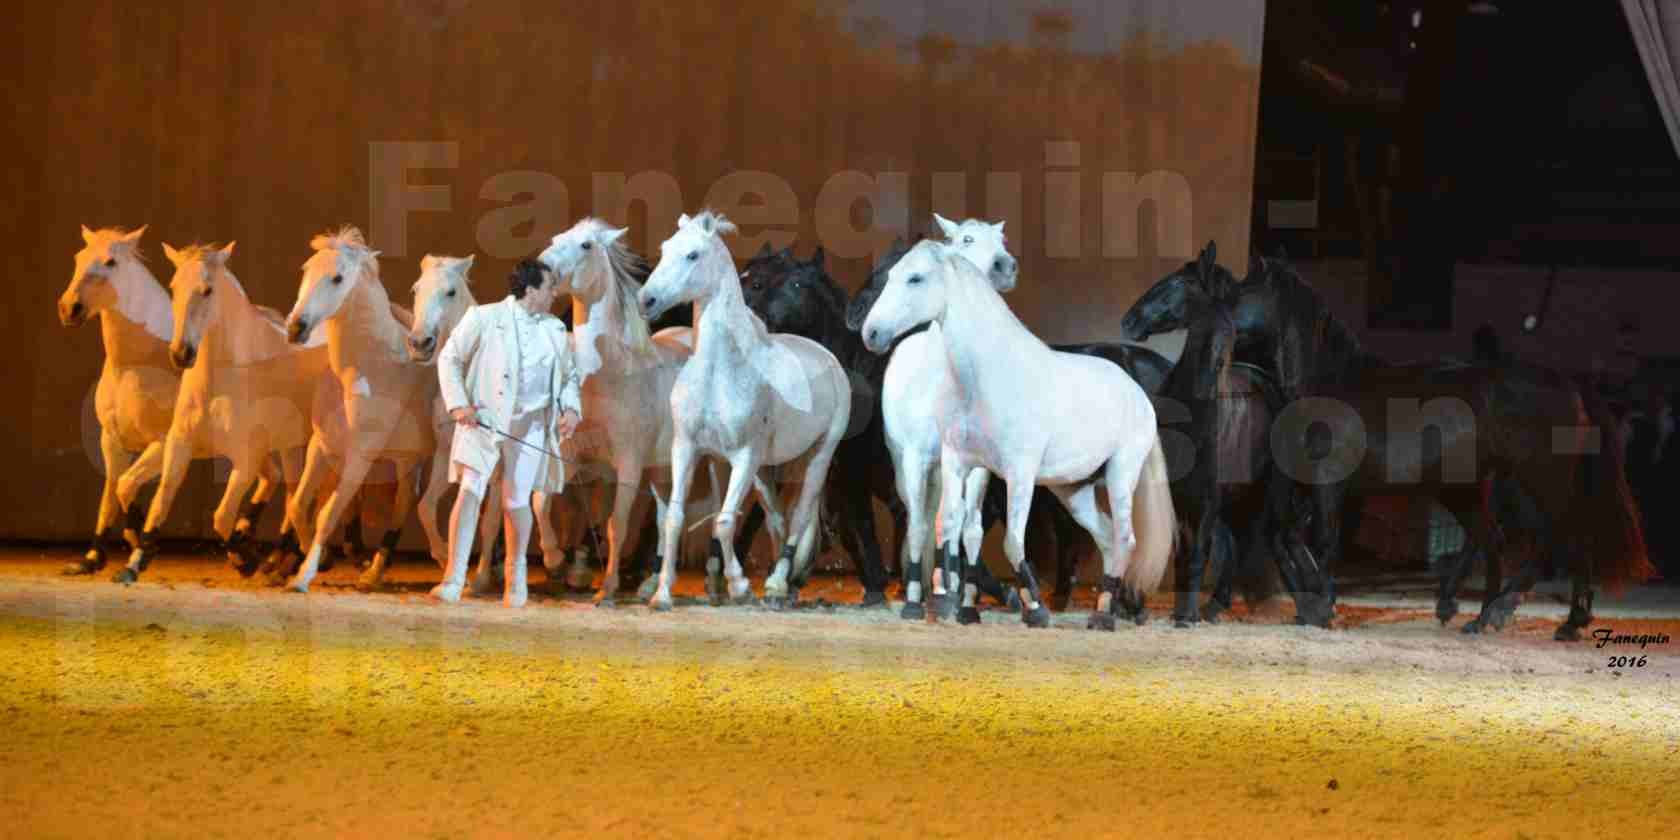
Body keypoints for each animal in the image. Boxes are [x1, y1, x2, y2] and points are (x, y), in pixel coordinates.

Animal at [57, 225, 180, 577]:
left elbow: (127, 485)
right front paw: (91, 558)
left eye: (111, 262)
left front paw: (141, 550)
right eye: (78, 257)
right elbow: (111, 492)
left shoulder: (164, 443)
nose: (69, 308)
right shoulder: (111, 439)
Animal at [120, 243, 329, 584]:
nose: (181, 354)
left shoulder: (245, 458)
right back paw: (280, 558)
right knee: (289, 491)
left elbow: (220, 516)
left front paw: (245, 561)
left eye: (207, 290)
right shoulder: (180, 445)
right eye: (174, 288)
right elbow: (158, 499)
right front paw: (136, 559)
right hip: (288, 447)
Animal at [282, 226, 440, 594]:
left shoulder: (360, 456)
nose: (296, 328)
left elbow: (327, 513)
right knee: (404, 501)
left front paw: (303, 576)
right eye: (306, 269)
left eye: (338, 278)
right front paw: (320, 559)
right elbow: (298, 505)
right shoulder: (322, 447)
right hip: (407, 459)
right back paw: (374, 572)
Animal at [641, 210, 853, 611]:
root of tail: (828, 358)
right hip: (765, 469)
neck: (719, 371)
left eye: (693, 254)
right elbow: (675, 518)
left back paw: (778, 583)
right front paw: (662, 594)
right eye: (664, 249)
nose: (647, 299)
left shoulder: (744, 456)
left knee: (799, 515)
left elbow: (725, 521)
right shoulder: (688, 449)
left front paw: (739, 586)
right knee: (776, 519)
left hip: (817, 456)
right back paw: (778, 583)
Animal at [860, 240, 1176, 628]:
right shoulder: (957, 463)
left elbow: (1012, 541)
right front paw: (947, 603)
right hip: (1074, 490)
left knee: (1125, 538)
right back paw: (1109, 605)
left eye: (915, 278)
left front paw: (1035, 608)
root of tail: (1137, 392)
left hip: (1121, 474)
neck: (984, 377)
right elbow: (947, 525)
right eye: (890, 275)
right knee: (1105, 536)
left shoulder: (1019, 474)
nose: (871, 333)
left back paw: (1105, 615)